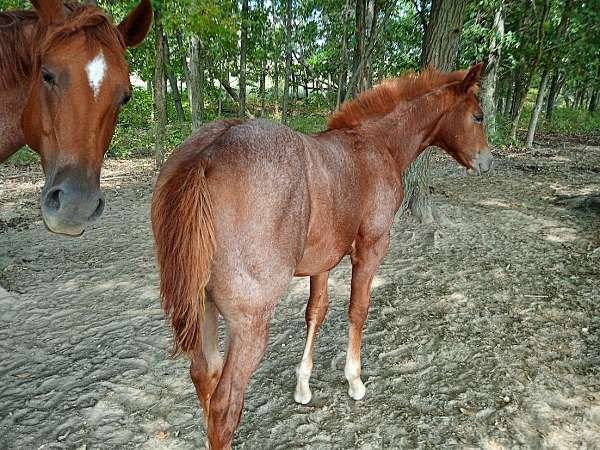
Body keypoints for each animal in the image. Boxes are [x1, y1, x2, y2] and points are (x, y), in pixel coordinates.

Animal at [151, 62, 492, 446]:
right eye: (478, 116)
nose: (487, 161)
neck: (375, 145)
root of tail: (206, 154)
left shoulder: (322, 262)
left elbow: (315, 312)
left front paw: (303, 385)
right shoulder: (372, 247)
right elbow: (358, 310)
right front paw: (355, 380)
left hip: (203, 306)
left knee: (203, 375)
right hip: (250, 322)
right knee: (225, 405)